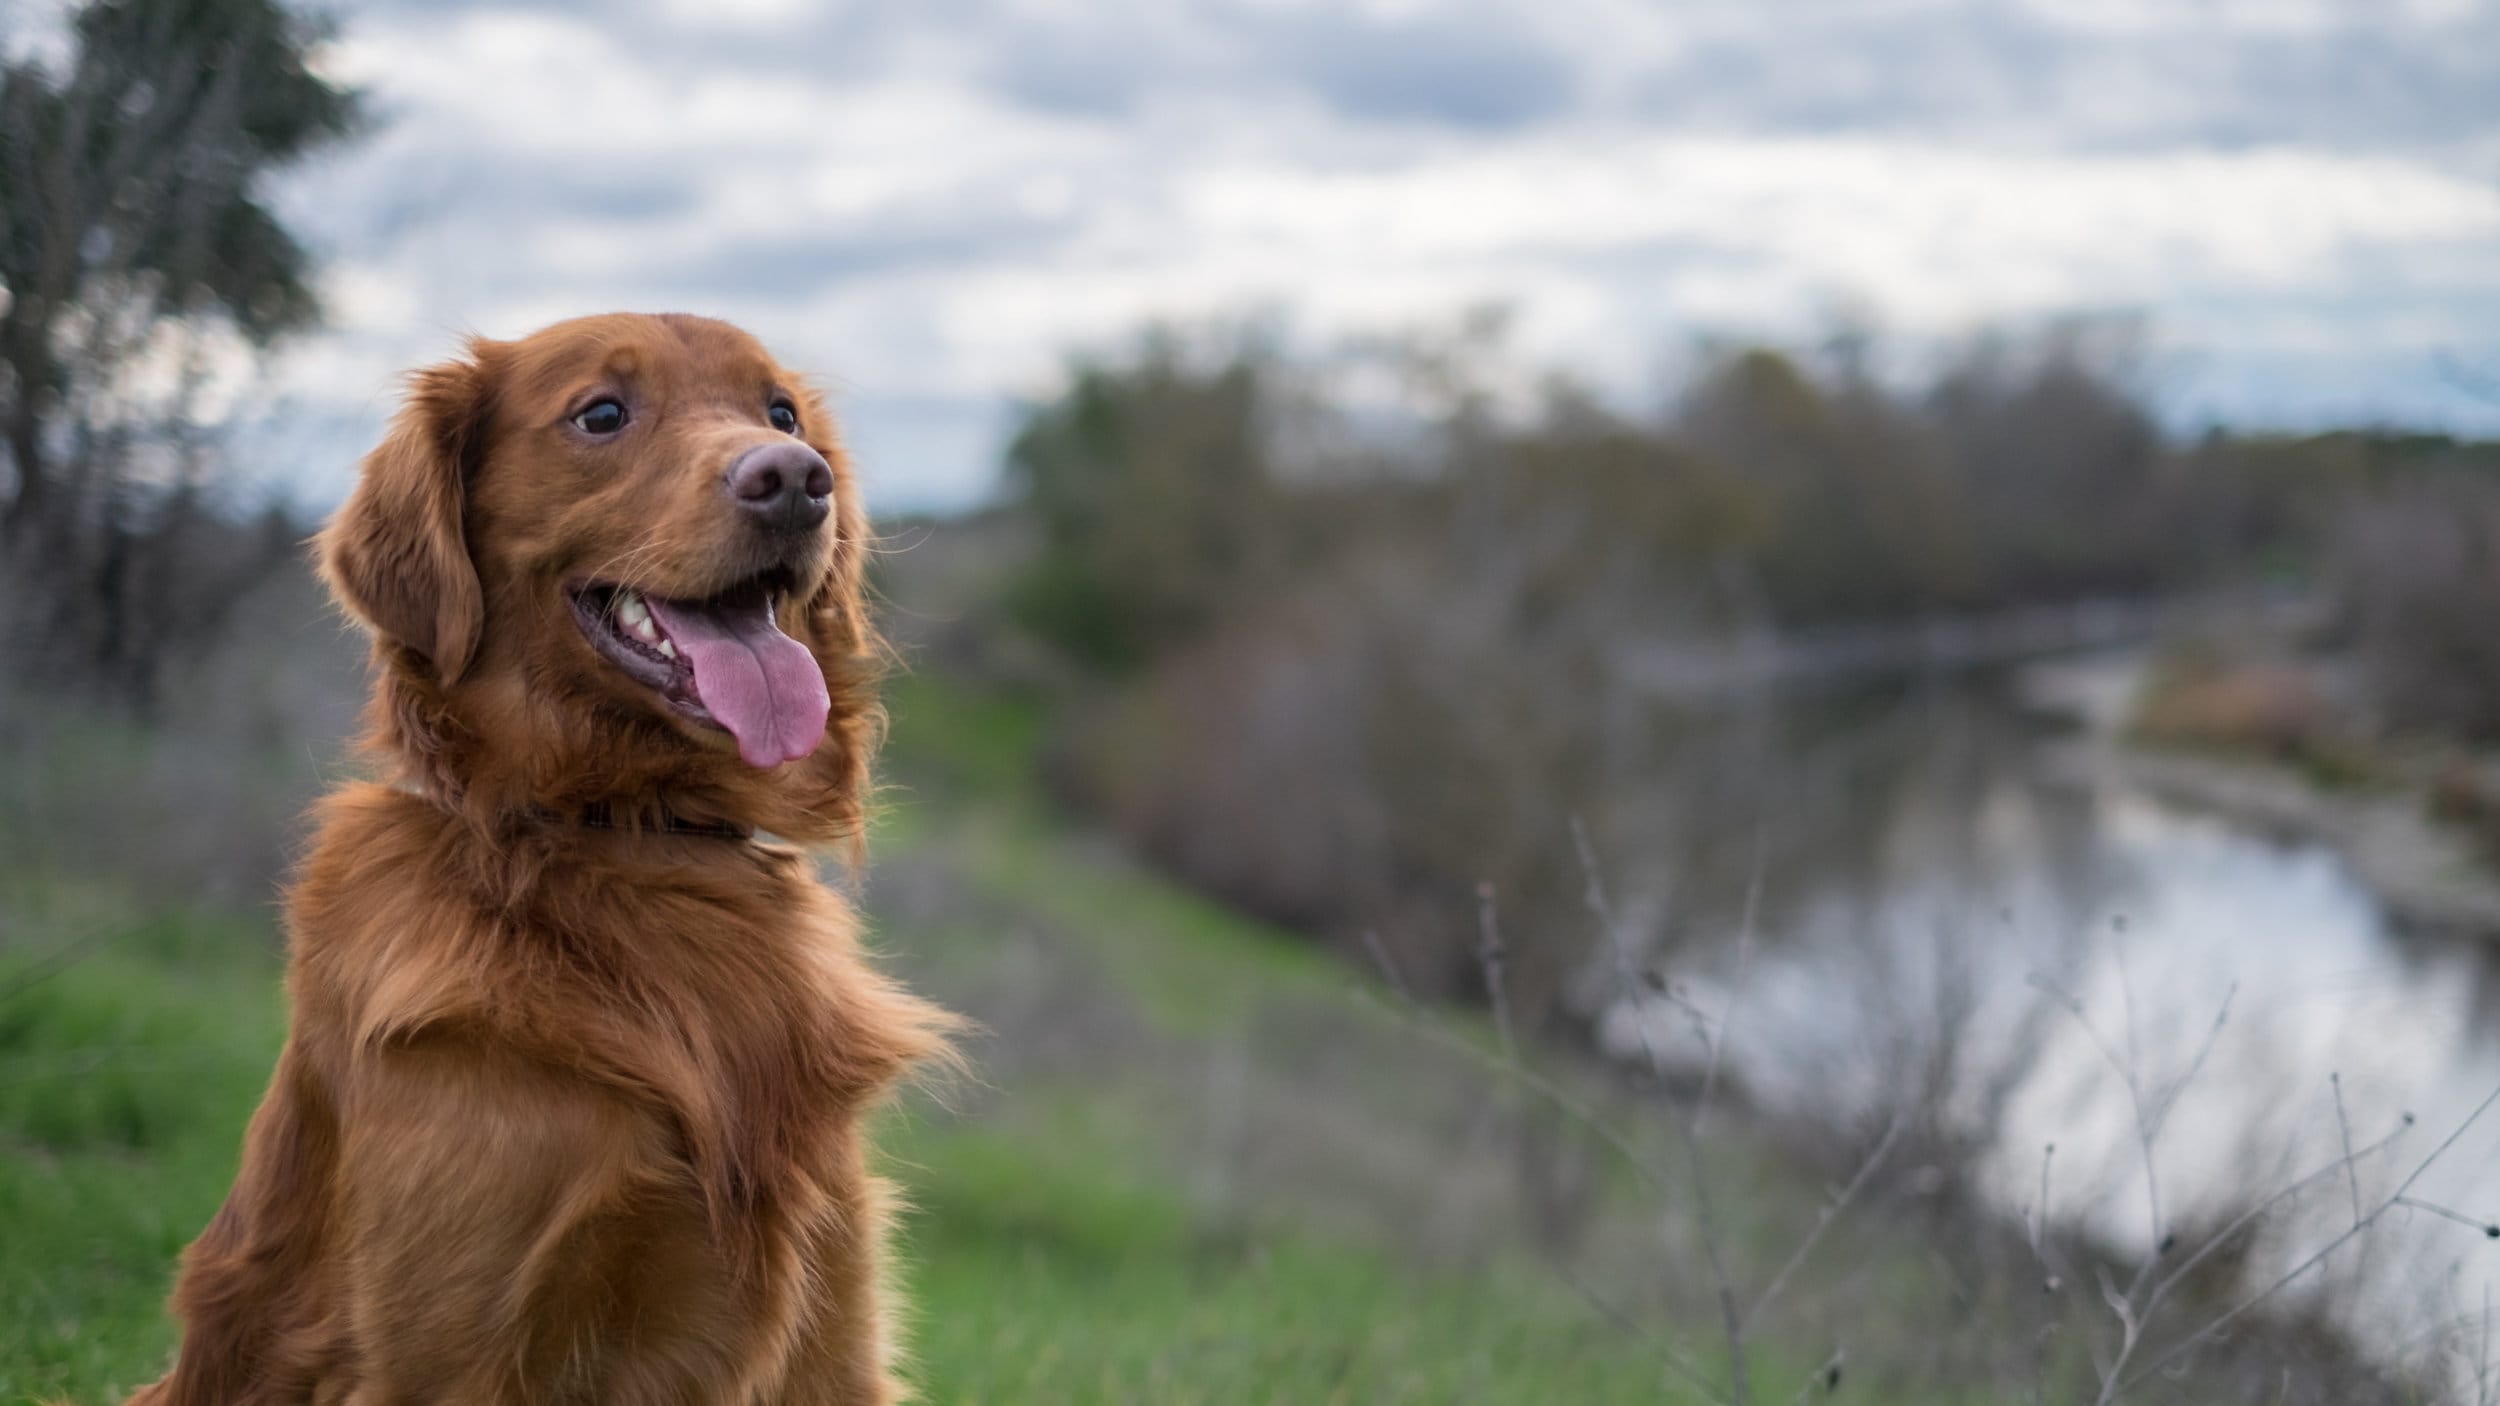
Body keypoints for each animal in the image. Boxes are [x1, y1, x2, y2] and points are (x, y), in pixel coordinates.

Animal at [126, 317, 965, 1400]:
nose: (794, 478)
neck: (630, 835)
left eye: (781, 413)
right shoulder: (449, 1347)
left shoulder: (834, 1329)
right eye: (601, 413)